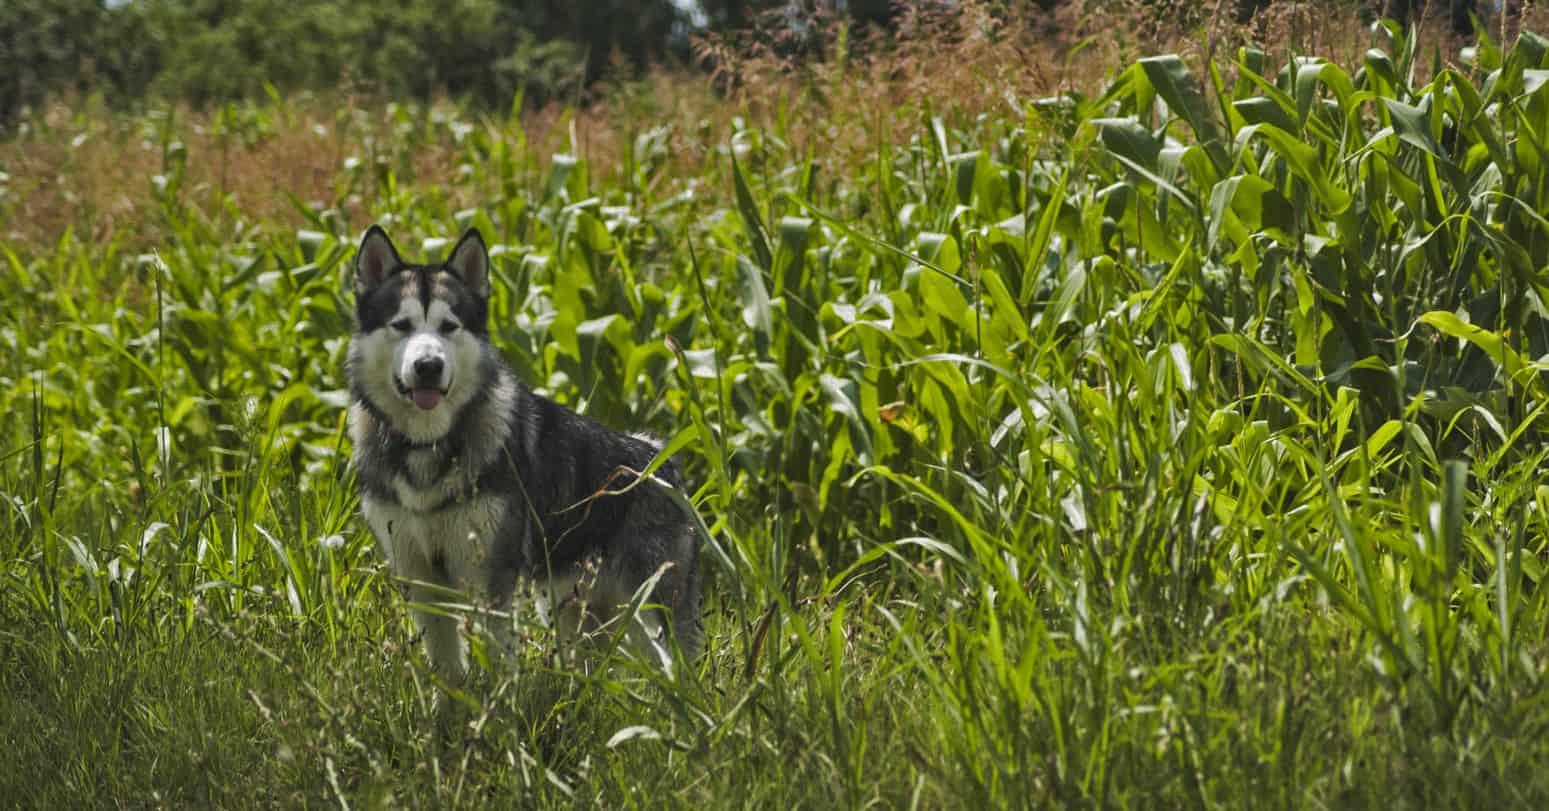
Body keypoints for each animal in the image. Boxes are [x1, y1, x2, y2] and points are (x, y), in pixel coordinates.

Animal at [345, 224, 703, 687]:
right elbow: (448, 672)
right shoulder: (420, 576)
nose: (428, 365)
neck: (429, 446)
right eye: (401, 326)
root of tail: (661, 456)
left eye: (448, 326)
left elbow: (498, 665)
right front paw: (452, 708)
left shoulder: (491, 578)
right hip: (571, 608)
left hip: (651, 609)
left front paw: (497, 707)